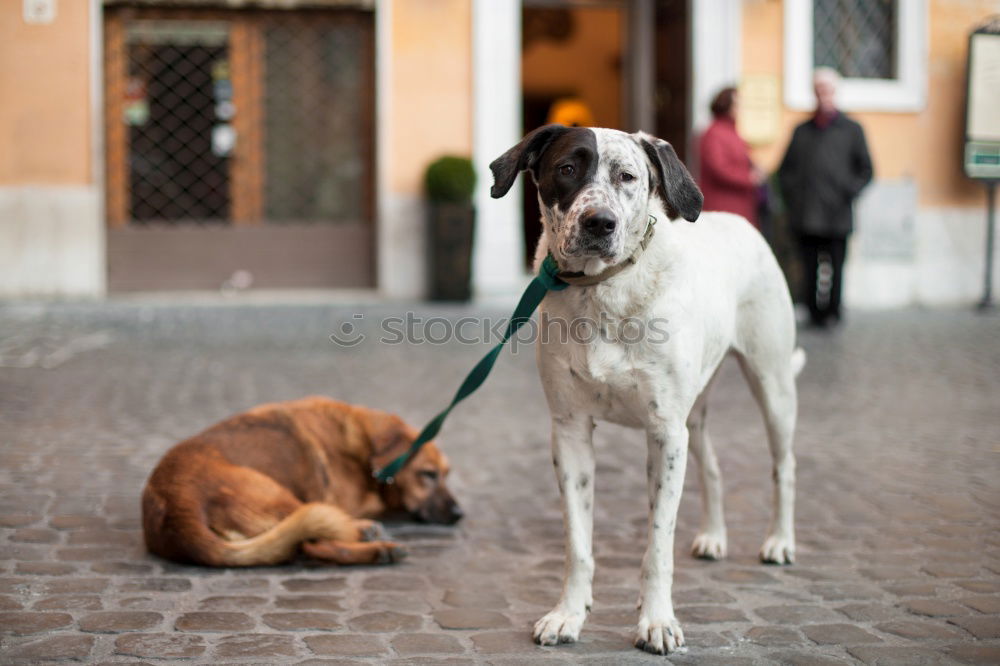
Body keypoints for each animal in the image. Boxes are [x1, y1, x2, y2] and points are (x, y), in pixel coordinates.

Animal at [142, 394, 460, 564]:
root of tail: (176, 508)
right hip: (276, 493)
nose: (460, 514)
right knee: (314, 540)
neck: (364, 446)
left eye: (446, 474)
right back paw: (377, 546)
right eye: (428, 474)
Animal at [490, 126, 804, 652]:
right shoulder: (570, 432)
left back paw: (779, 541)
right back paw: (714, 536)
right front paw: (569, 614)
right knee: (713, 466)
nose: (599, 222)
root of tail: (740, 222)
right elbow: (578, 544)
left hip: (772, 385)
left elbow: (658, 545)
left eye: (627, 176)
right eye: (567, 169)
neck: (601, 293)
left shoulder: (664, 433)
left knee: (784, 466)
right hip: (694, 415)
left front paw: (657, 621)